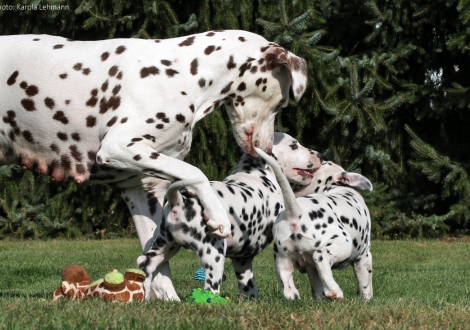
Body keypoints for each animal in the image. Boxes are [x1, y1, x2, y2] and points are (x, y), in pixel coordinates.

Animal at [137, 132, 324, 300]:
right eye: (294, 145)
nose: (320, 155)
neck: (256, 174)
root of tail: (180, 201)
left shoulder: (242, 259)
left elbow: (248, 286)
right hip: (213, 254)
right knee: (210, 287)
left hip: (164, 246)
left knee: (145, 263)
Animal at [255, 148, 372, 300]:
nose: (321, 157)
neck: (336, 188)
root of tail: (297, 212)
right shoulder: (364, 255)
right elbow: (365, 282)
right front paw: (366, 299)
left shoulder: (310, 267)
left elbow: (317, 284)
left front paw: (319, 299)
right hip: (342, 244)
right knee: (321, 258)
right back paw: (335, 292)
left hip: (282, 258)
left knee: (288, 286)